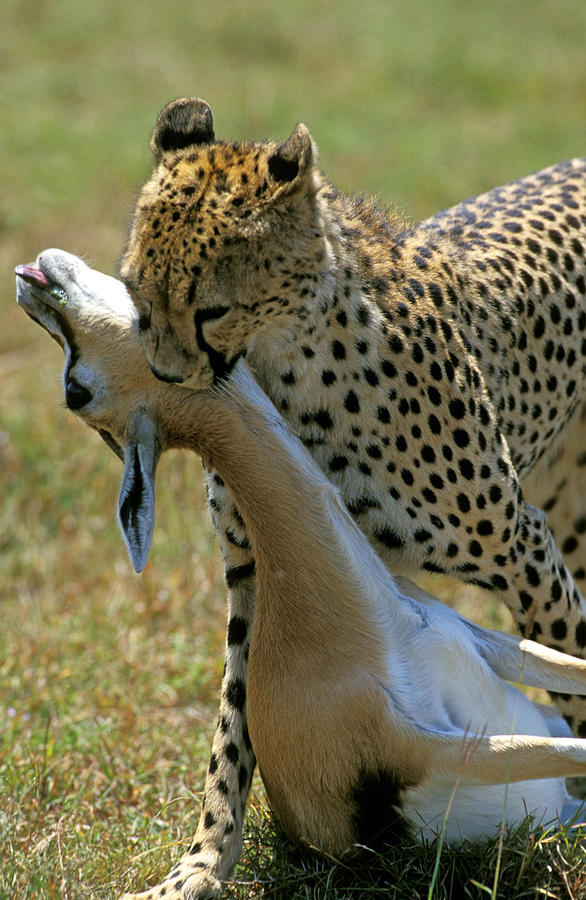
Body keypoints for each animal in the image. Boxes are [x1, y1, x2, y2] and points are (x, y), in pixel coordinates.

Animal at [118, 98, 584, 892]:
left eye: (210, 309)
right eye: (137, 298)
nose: (168, 380)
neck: (290, 361)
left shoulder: (522, 549)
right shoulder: (263, 562)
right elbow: (234, 729)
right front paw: (201, 864)